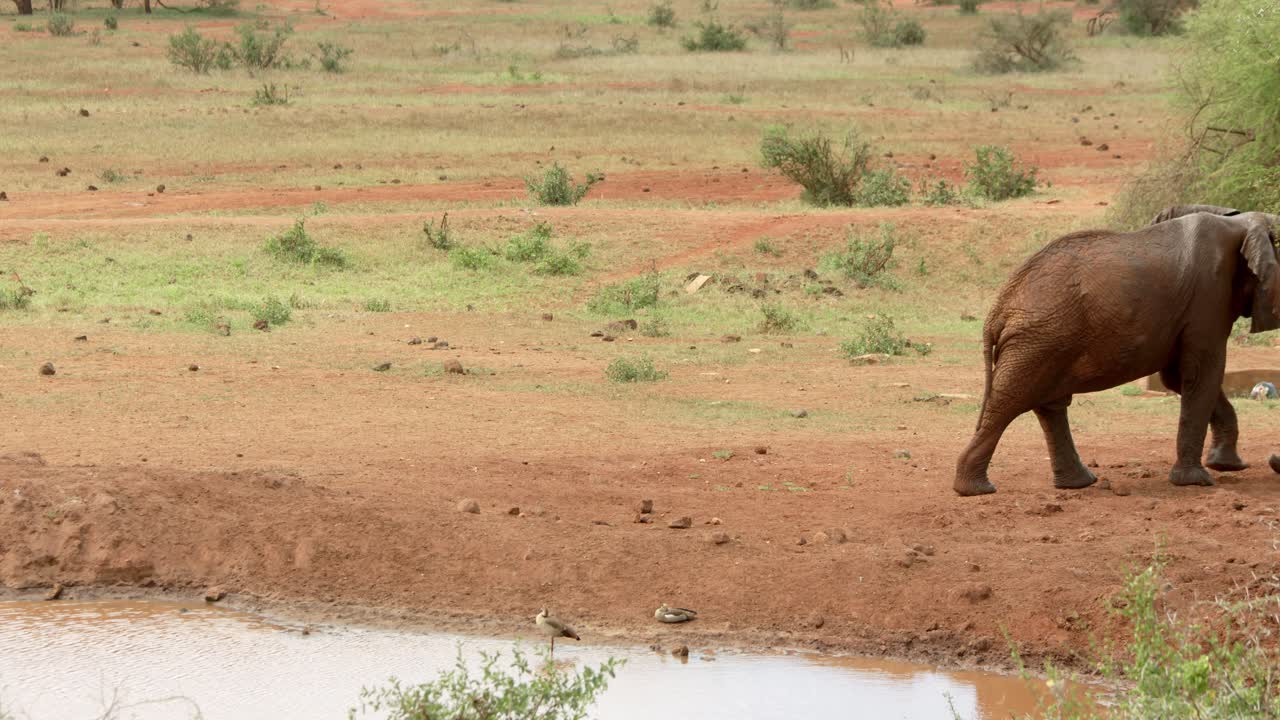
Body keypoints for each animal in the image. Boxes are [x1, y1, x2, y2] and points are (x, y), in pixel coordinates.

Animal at [954, 206, 1280, 496]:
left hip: (1045, 339)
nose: (1271, 461)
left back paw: (1077, 484)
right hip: (1039, 338)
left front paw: (1228, 466)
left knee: (1047, 404)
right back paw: (977, 490)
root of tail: (999, 308)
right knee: (1009, 402)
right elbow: (1202, 375)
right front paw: (1198, 482)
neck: (1241, 221)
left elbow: (1180, 378)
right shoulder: (1208, 296)